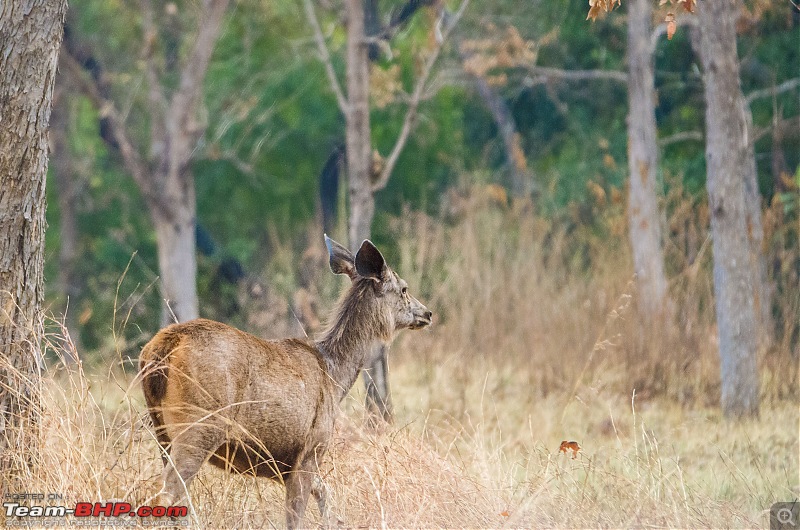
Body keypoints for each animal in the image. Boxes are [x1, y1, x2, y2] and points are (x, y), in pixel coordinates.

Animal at [141, 234, 434, 524]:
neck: (335, 377)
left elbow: (326, 495)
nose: (427, 313)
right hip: (199, 424)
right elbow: (297, 515)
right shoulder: (310, 450)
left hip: (161, 430)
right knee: (165, 494)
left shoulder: (291, 466)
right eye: (404, 289)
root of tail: (162, 346)